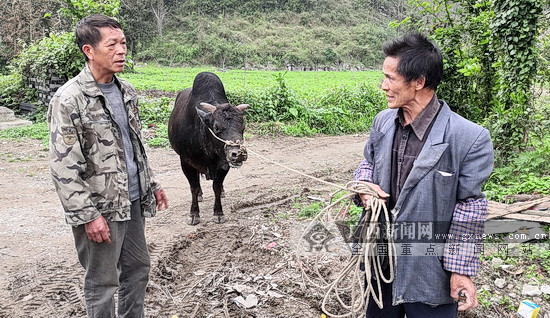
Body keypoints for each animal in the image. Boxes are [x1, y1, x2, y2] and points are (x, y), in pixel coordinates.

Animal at [166, 73, 248, 225]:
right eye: (216, 127)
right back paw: (200, 194)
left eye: (243, 127)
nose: (238, 154)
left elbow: (216, 187)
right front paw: (193, 214)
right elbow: (193, 187)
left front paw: (218, 213)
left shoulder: (223, 164)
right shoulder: (186, 162)